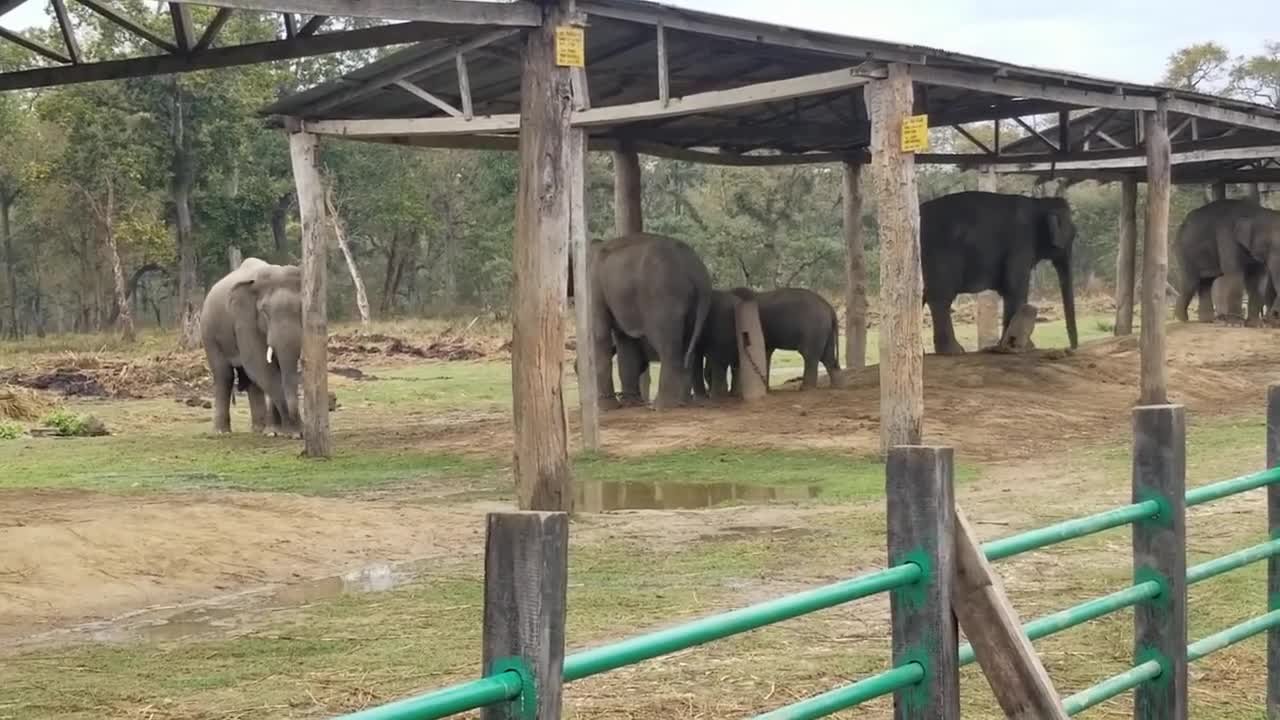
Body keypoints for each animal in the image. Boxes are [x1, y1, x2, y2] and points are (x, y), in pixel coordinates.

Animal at [199, 257, 304, 438]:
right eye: (264, 312)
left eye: (301, 309)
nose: (298, 431)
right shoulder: (244, 320)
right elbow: (260, 365)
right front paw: (295, 433)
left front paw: (281, 432)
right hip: (210, 335)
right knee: (224, 376)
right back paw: (221, 432)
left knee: (251, 381)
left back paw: (261, 429)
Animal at [573, 233, 716, 407]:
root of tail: (698, 272)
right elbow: (626, 343)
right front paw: (630, 403)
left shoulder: (593, 286)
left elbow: (599, 334)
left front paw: (606, 407)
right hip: (691, 304)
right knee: (689, 348)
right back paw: (682, 402)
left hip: (664, 297)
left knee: (668, 346)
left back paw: (662, 405)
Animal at [921, 190, 1080, 353]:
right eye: (1073, 234)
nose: (1071, 348)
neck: (1038, 203)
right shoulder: (1021, 243)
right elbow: (1015, 288)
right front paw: (1025, 347)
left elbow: (1009, 290)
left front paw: (1006, 346)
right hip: (937, 255)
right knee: (941, 298)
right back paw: (953, 351)